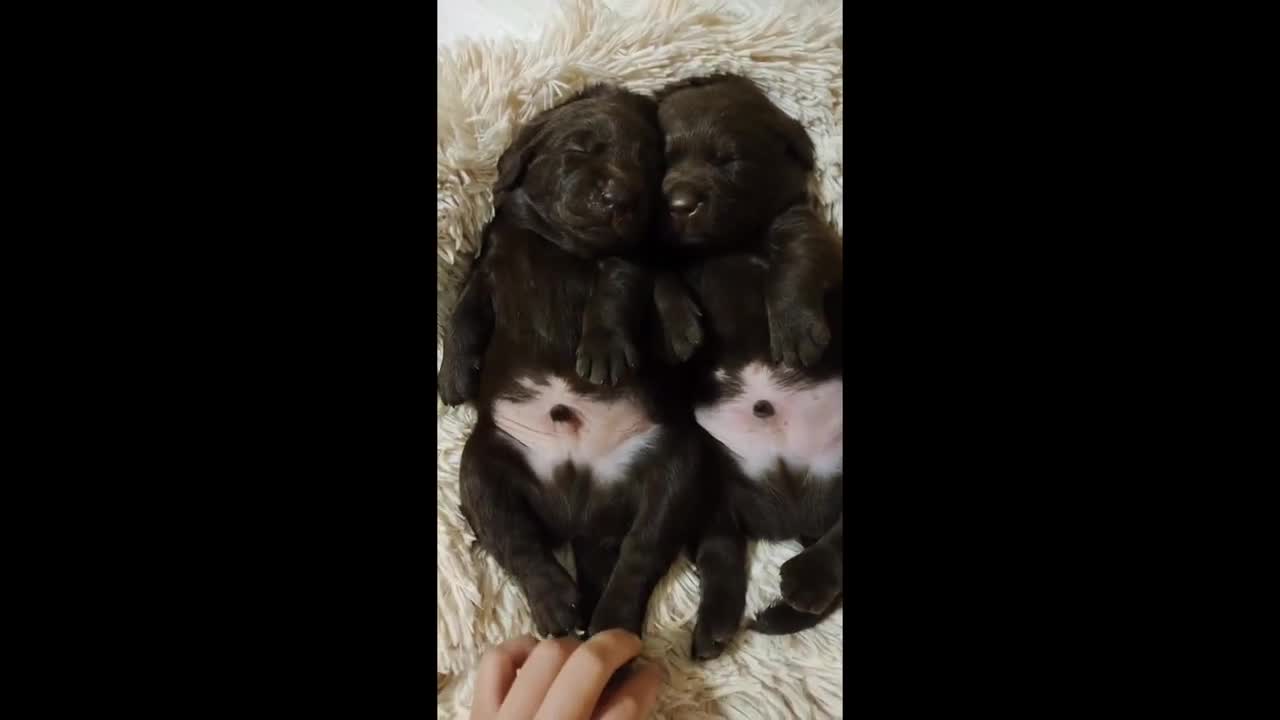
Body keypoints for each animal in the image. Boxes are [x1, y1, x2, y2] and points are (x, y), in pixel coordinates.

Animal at [437, 85, 701, 638]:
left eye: (648, 165)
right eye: (581, 147)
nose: (621, 196)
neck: (558, 243)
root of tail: (581, 517)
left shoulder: (625, 259)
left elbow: (611, 294)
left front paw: (602, 352)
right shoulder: (488, 266)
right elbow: (465, 312)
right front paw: (453, 376)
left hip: (677, 464)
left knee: (641, 550)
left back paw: (608, 620)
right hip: (482, 467)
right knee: (518, 541)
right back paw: (556, 602)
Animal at [655, 73, 844, 655]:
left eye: (728, 160)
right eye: (661, 159)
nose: (679, 202)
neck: (724, 245)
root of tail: (792, 513)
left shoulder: (805, 227)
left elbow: (797, 262)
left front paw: (796, 329)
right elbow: (657, 275)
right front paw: (677, 329)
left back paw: (804, 582)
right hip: (712, 492)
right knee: (721, 555)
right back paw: (715, 624)